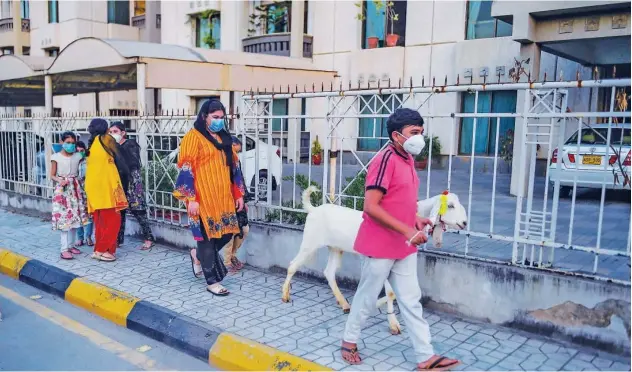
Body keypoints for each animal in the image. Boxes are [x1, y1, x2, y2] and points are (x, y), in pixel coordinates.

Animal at [282, 186, 470, 334]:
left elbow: (393, 293)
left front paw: (376, 306)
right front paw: (393, 324)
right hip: (311, 241)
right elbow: (390, 292)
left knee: (329, 272)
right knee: (293, 265)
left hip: (335, 248)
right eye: (450, 205)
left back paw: (344, 304)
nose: (464, 223)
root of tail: (313, 209)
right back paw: (285, 295)